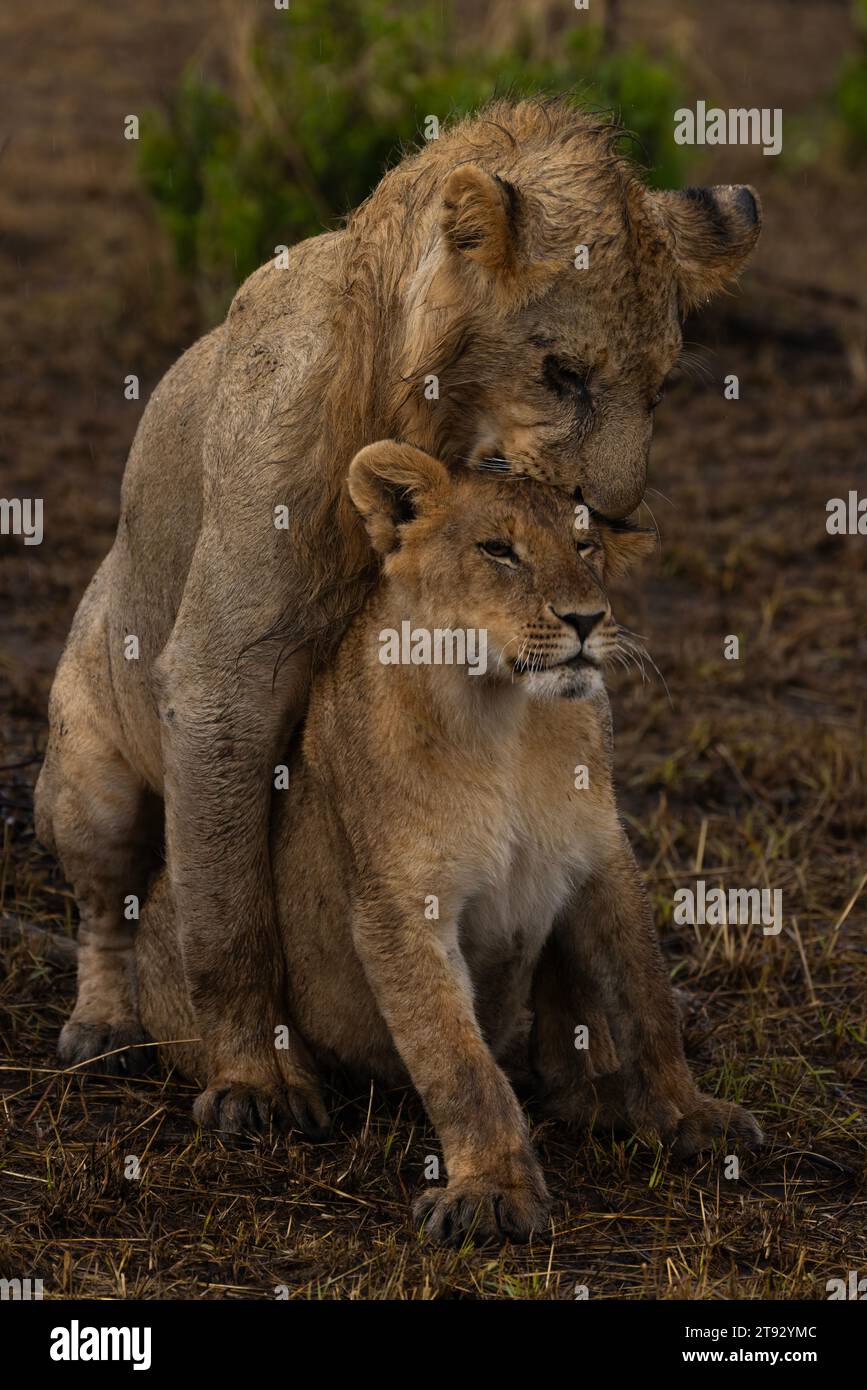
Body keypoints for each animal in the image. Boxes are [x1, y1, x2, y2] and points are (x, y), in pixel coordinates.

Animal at [34, 98, 762, 1135]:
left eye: (658, 388)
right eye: (563, 373)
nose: (618, 521)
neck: (433, 429)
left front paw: (605, 1072)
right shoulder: (225, 671)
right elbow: (225, 906)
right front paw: (255, 1081)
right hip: (91, 779)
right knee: (108, 910)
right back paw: (103, 1026)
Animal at [132, 441, 762, 1243]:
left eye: (584, 545)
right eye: (498, 550)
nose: (587, 617)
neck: (504, 719)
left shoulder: (602, 859)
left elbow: (644, 999)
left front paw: (688, 1116)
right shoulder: (399, 903)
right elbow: (456, 1061)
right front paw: (492, 1191)